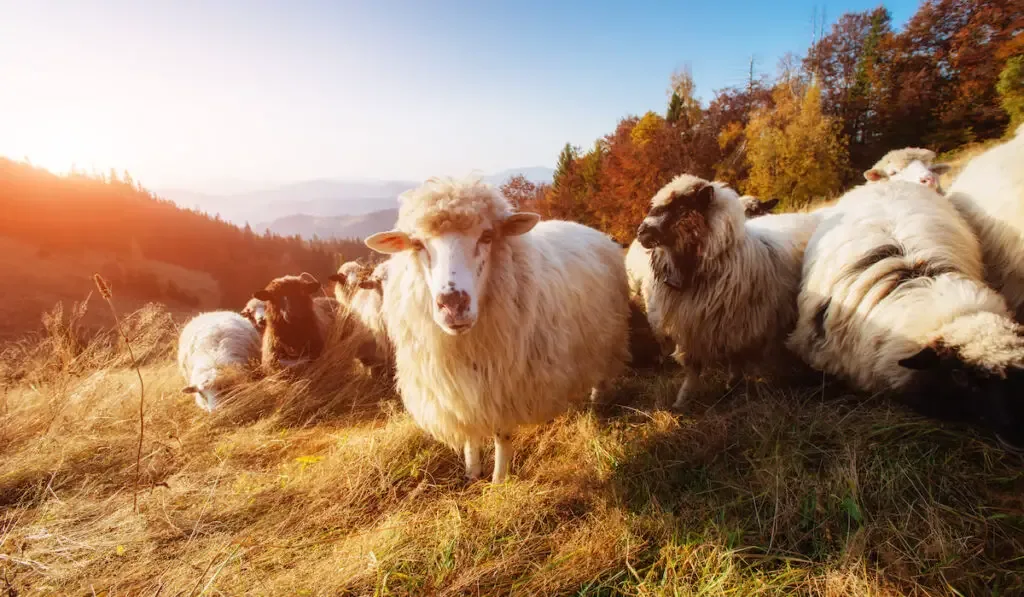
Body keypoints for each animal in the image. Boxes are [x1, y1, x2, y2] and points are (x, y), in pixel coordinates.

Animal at [364, 175, 626, 483]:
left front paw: (499, 479)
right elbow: (469, 433)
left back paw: (598, 402)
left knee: (602, 371)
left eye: (487, 236)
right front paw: (471, 471)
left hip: (608, 334)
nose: (453, 303)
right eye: (417, 244)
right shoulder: (460, 390)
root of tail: (589, 230)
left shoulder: (503, 386)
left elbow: (501, 435)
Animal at [634, 173, 819, 409]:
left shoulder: (737, 324)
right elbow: (693, 369)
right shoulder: (689, 326)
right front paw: (682, 400)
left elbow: (735, 357)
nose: (641, 232)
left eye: (682, 207)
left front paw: (732, 384)